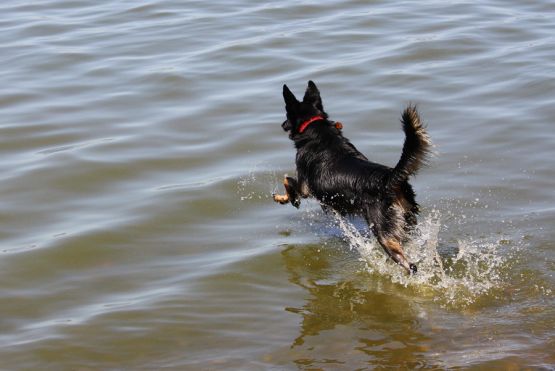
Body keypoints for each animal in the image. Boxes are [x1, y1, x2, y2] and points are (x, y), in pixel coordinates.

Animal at [274, 80, 434, 274]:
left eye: (286, 114)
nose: (282, 124)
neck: (315, 127)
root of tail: (390, 179)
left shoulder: (305, 186)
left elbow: (287, 180)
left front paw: (286, 199)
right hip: (407, 222)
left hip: (384, 233)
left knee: (410, 265)